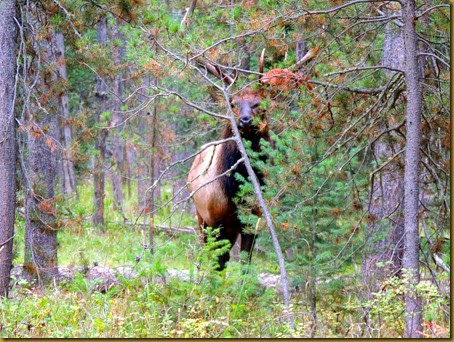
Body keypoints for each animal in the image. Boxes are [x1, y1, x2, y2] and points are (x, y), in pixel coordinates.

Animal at [188, 48, 316, 270]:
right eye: (233, 103)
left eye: (258, 103)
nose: (245, 120)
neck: (235, 191)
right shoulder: (215, 219)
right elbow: (218, 263)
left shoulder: (254, 219)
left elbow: (245, 262)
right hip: (200, 216)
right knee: (210, 256)